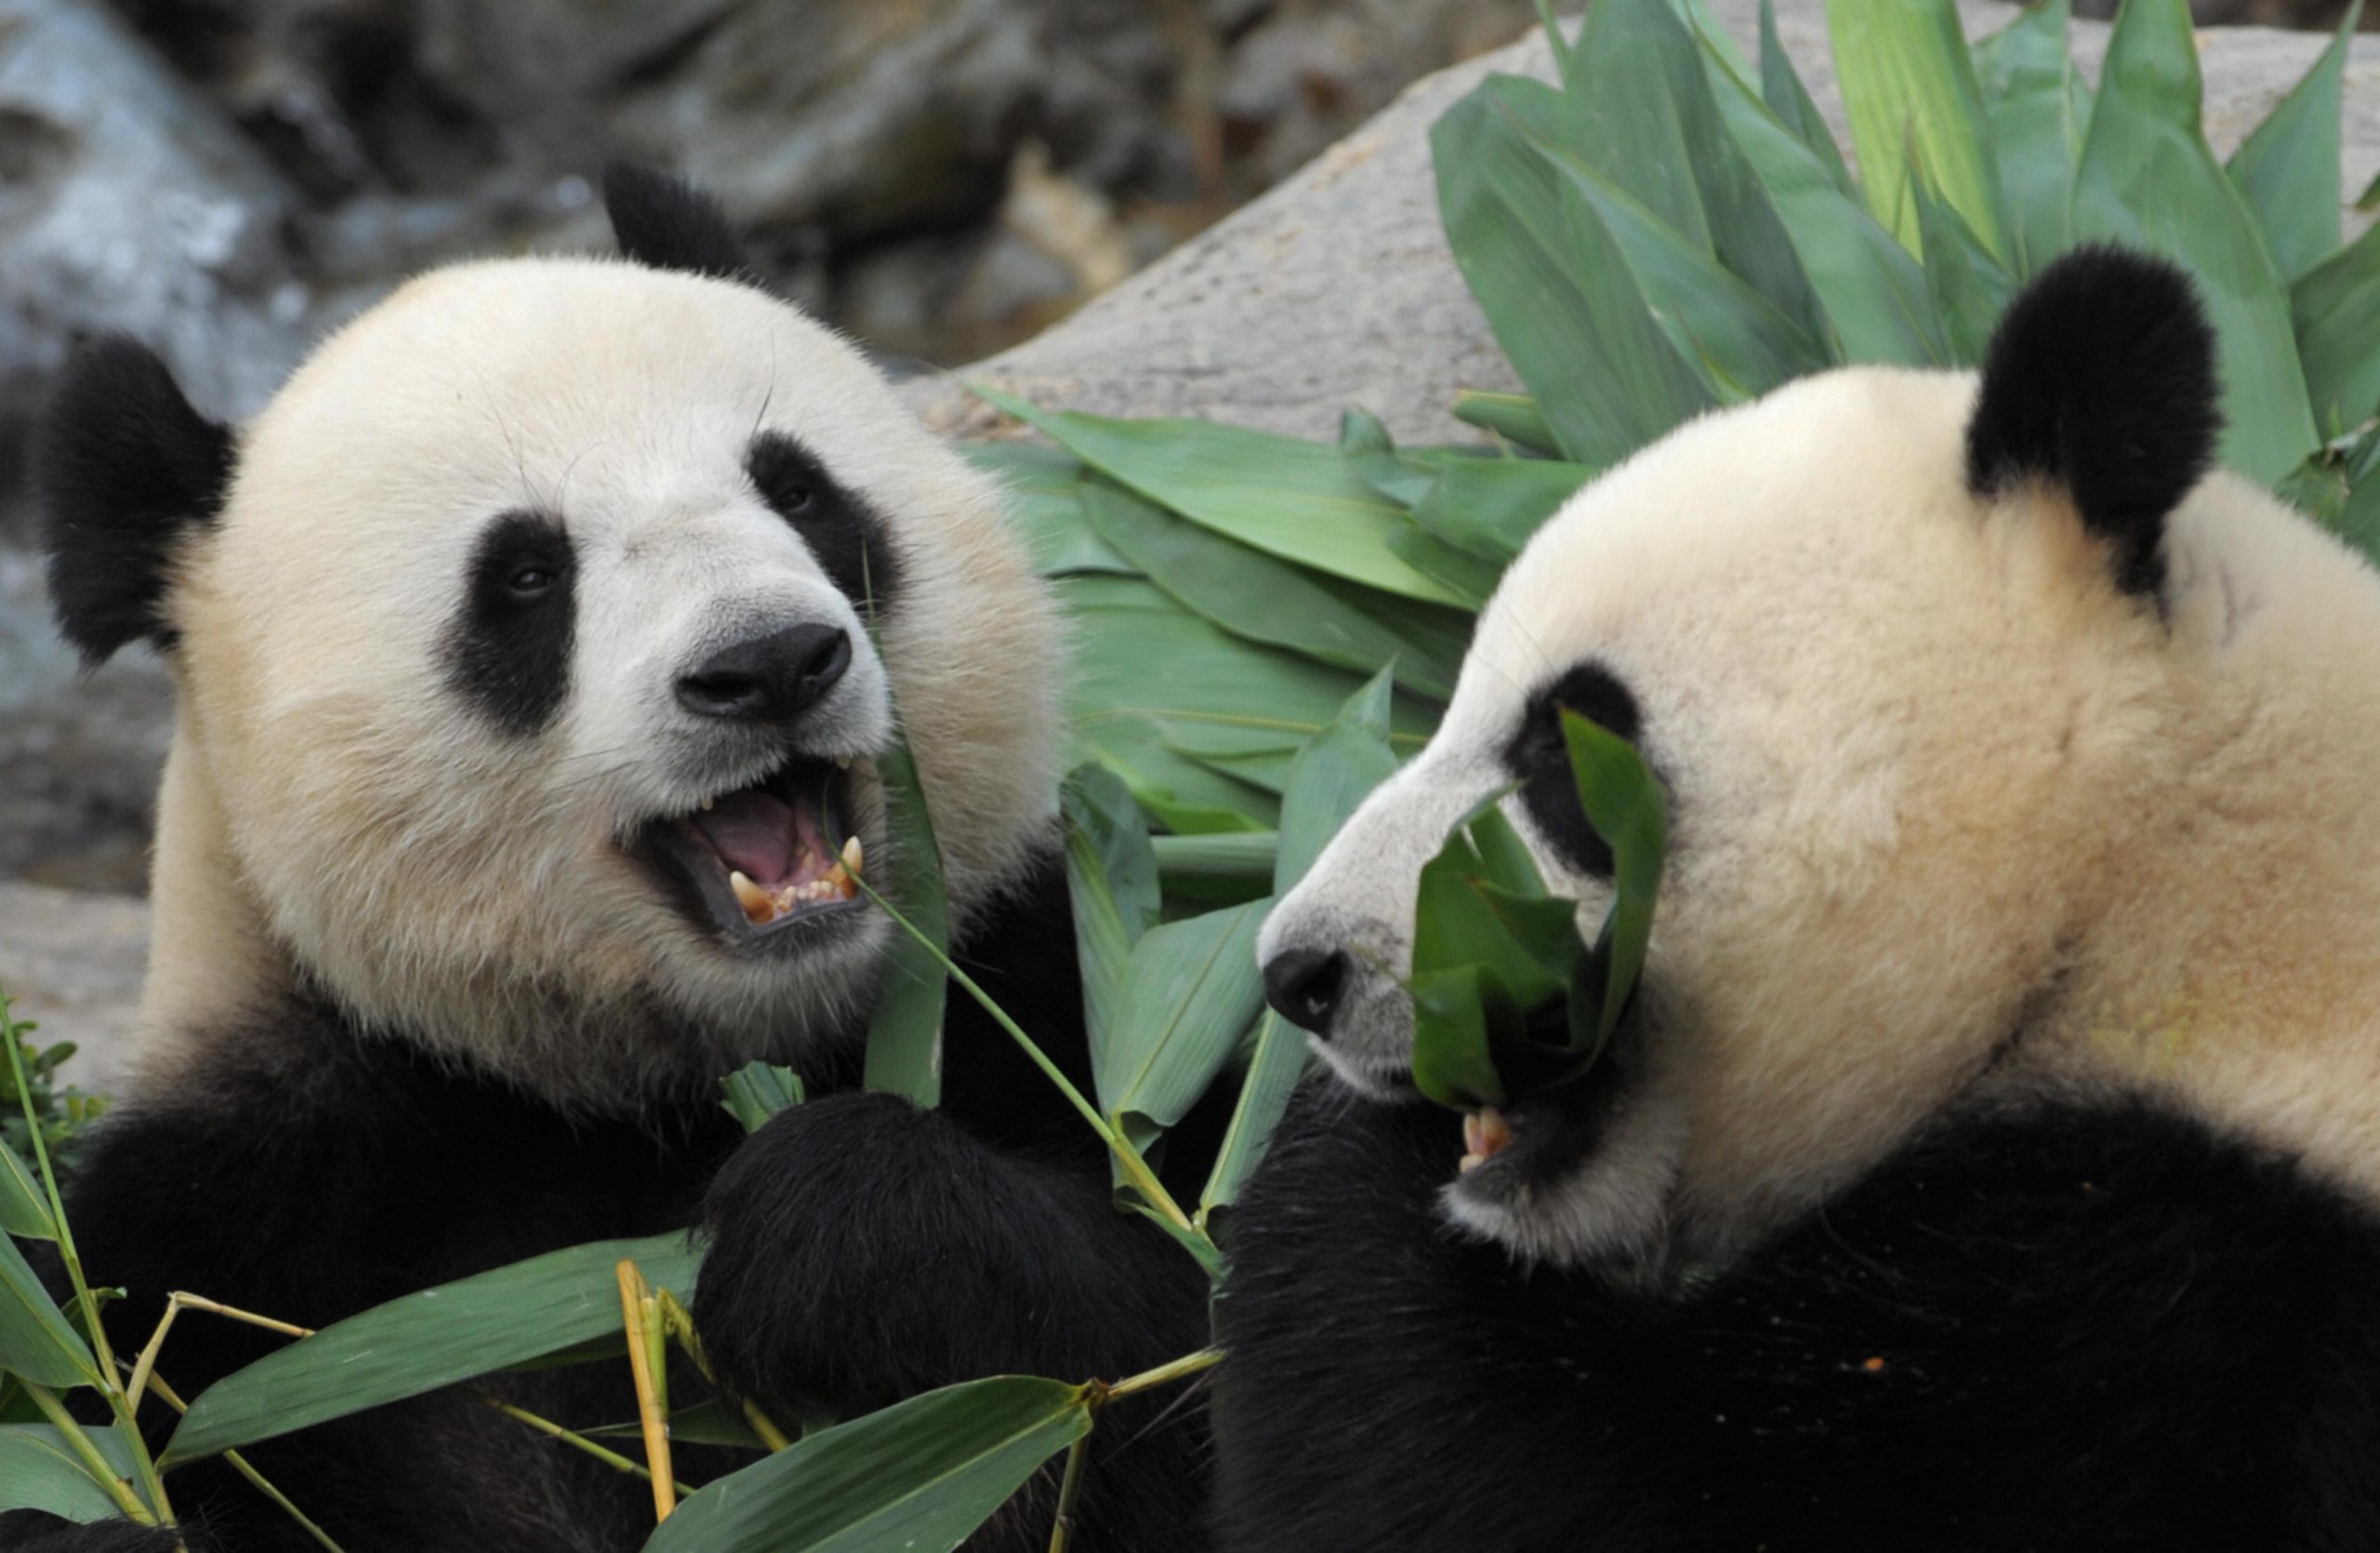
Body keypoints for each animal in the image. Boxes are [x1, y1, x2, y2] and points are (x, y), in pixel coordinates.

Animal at [5, 166, 1209, 1553]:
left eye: (799, 489)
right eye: (526, 576)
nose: (770, 661)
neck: (642, 1090)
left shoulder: (1039, 982)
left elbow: (1191, 1337)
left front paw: (841, 1231)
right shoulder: (239, 1230)